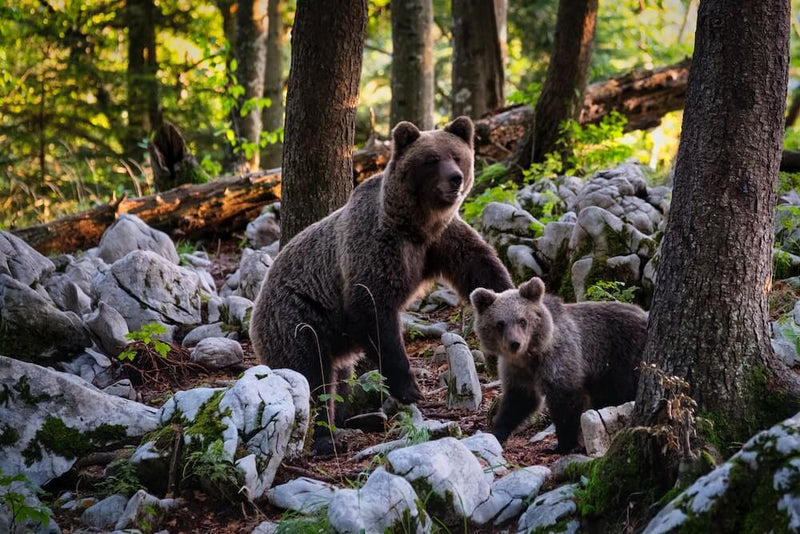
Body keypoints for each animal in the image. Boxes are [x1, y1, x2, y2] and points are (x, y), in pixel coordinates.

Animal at [250, 116, 513, 453]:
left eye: (457, 156)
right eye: (431, 160)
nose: (455, 179)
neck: (415, 225)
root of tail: (257, 304)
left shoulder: (441, 240)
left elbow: (480, 266)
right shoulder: (376, 247)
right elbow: (374, 309)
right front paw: (409, 388)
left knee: (339, 376)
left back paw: (358, 418)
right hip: (299, 319)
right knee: (312, 375)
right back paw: (327, 437)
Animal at [470, 276, 647, 453]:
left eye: (522, 320)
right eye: (500, 323)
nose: (515, 343)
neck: (530, 356)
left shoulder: (559, 358)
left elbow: (565, 399)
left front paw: (561, 445)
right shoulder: (517, 370)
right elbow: (518, 401)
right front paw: (497, 433)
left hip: (624, 357)